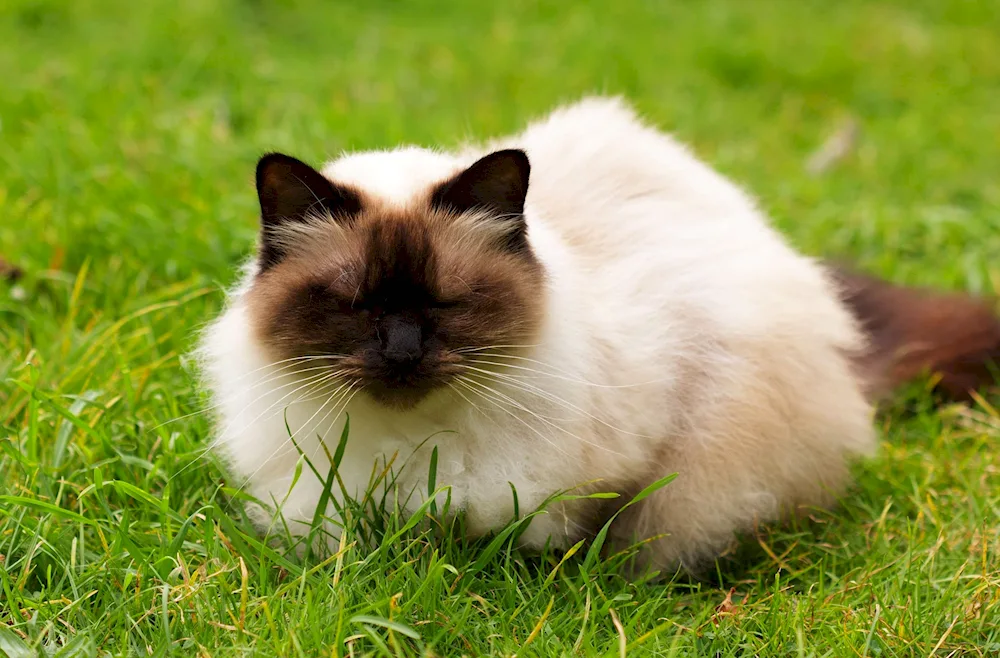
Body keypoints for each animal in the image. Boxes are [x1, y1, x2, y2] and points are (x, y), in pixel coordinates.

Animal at [201, 96, 1000, 568]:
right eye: (357, 306)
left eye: (447, 304)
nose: (402, 352)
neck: (409, 442)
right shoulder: (325, 501)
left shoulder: (621, 458)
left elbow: (551, 537)